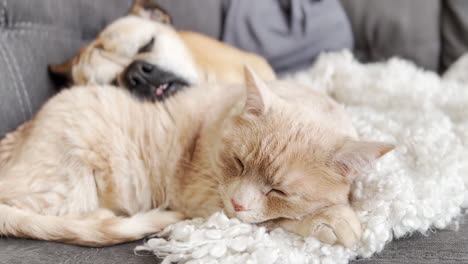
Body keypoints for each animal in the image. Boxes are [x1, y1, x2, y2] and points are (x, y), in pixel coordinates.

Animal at [0, 67, 394, 248]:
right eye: (238, 163)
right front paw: (335, 219)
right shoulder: (205, 200)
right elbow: (274, 221)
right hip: (66, 185)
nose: (238, 202)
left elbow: (273, 216)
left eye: (278, 190)